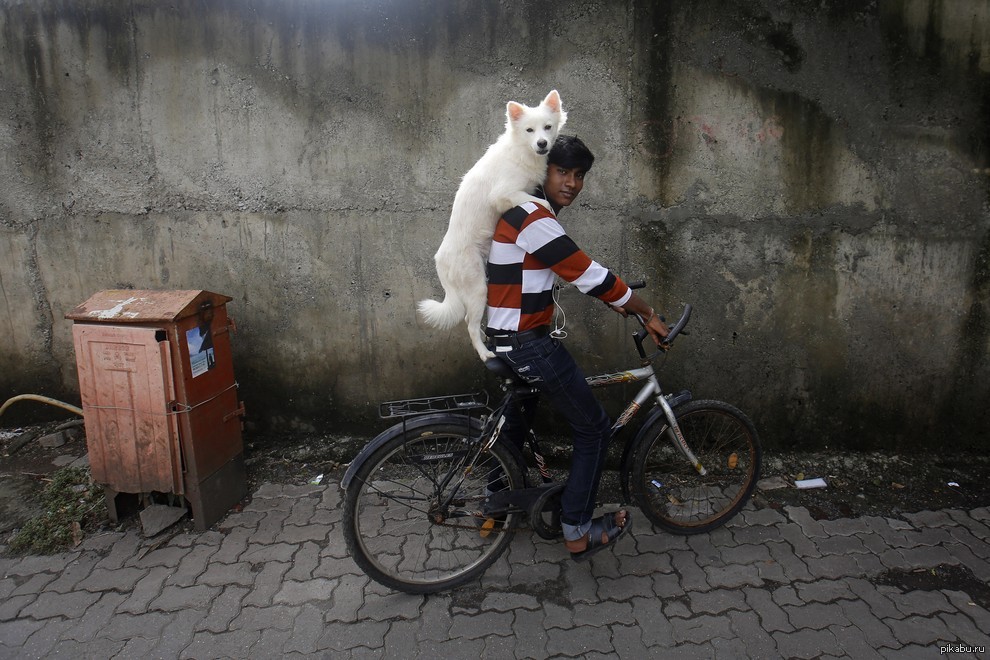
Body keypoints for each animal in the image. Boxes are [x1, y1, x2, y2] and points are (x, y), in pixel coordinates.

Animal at [418, 89, 568, 360]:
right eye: (529, 130)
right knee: (469, 323)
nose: (542, 144)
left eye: (547, 127)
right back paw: (486, 354)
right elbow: (536, 200)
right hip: (478, 287)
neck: (522, 150)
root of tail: (440, 260)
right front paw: (547, 207)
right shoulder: (503, 194)